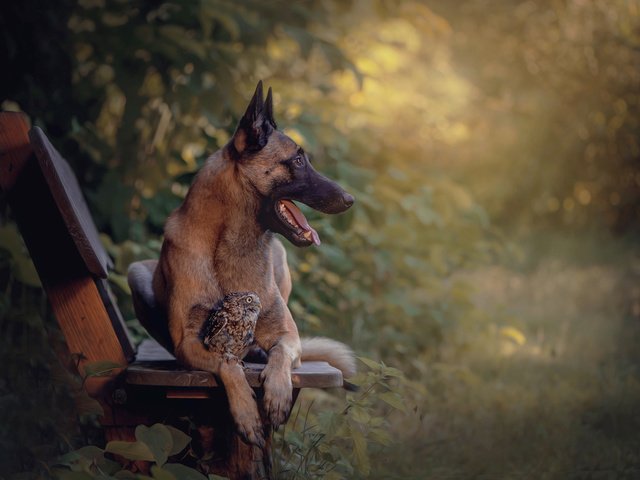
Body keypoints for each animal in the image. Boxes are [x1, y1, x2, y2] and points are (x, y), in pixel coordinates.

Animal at [153, 81, 358, 446]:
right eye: (299, 160)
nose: (350, 200)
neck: (231, 244)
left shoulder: (288, 335)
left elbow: (280, 355)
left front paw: (276, 393)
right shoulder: (187, 344)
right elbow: (227, 363)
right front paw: (247, 413)